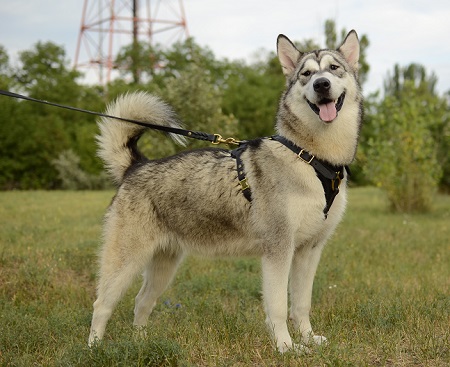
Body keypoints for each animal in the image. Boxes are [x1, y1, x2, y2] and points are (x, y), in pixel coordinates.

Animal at [87, 30, 362, 354]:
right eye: (306, 74)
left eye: (333, 68)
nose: (321, 85)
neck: (311, 158)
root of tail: (136, 166)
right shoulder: (278, 250)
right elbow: (279, 307)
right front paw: (286, 347)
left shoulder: (309, 251)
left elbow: (301, 305)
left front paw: (307, 339)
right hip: (125, 261)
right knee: (102, 304)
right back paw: (93, 349)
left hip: (164, 264)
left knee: (142, 301)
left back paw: (142, 342)